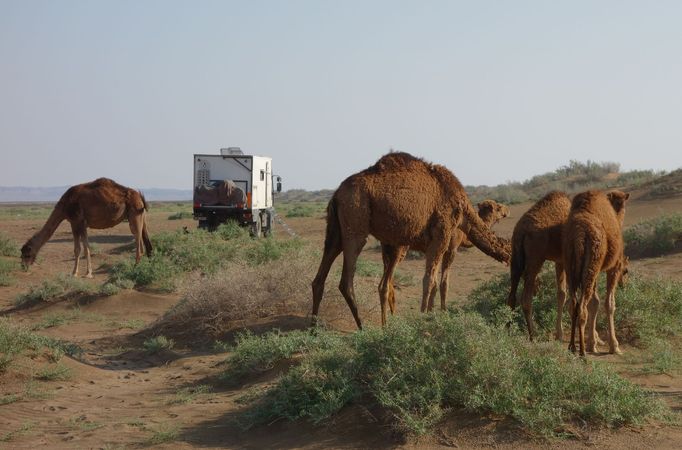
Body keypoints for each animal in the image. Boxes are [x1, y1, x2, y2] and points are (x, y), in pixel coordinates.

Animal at [20, 178, 152, 278]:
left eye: (27, 254)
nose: (23, 266)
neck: (63, 206)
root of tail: (139, 196)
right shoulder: (80, 223)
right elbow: (84, 247)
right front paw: (84, 272)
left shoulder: (77, 221)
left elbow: (80, 249)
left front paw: (79, 273)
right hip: (140, 215)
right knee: (145, 239)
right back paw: (147, 263)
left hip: (134, 213)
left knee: (138, 240)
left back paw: (135, 267)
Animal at [378, 200, 510, 324]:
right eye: (498, 207)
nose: (507, 210)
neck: (464, 233)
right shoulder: (451, 249)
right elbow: (444, 283)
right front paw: (443, 312)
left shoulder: (435, 250)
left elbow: (435, 283)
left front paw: (430, 312)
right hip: (400, 249)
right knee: (387, 283)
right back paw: (387, 323)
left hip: (386, 249)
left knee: (388, 281)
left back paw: (393, 318)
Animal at [560, 189, 628, 356]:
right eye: (625, 271)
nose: (624, 285)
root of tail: (578, 235)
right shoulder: (614, 266)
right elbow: (609, 303)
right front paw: (614, 346)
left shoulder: (596, 269)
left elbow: (595, 302)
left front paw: (593, 342)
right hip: (593, 260)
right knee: (582, 307)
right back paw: (582, 352)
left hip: (572, 263)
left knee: (573, 305)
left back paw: (572, 347)